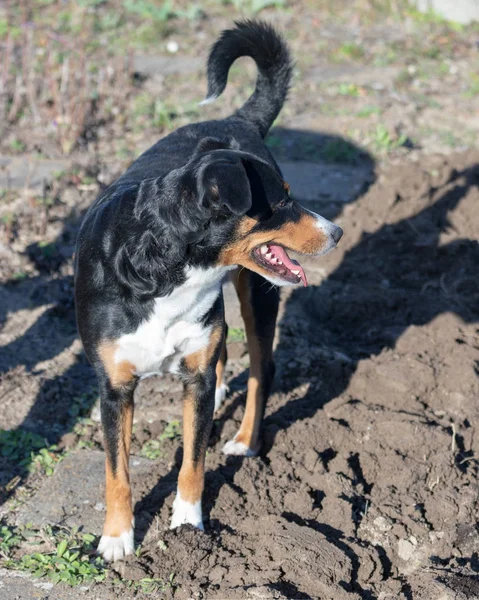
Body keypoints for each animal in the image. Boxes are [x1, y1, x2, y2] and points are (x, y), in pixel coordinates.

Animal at [75, 18, 344, 564]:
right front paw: (116, 539)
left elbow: (193, 463)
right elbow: (117, 474)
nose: (337, 232)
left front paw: (187, 528)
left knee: (262, 369)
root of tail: (236, 119)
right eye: (279, 202)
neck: (164, 271)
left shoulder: (193, 381)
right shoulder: (117, 390)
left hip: (258, 295)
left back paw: (243, 440)